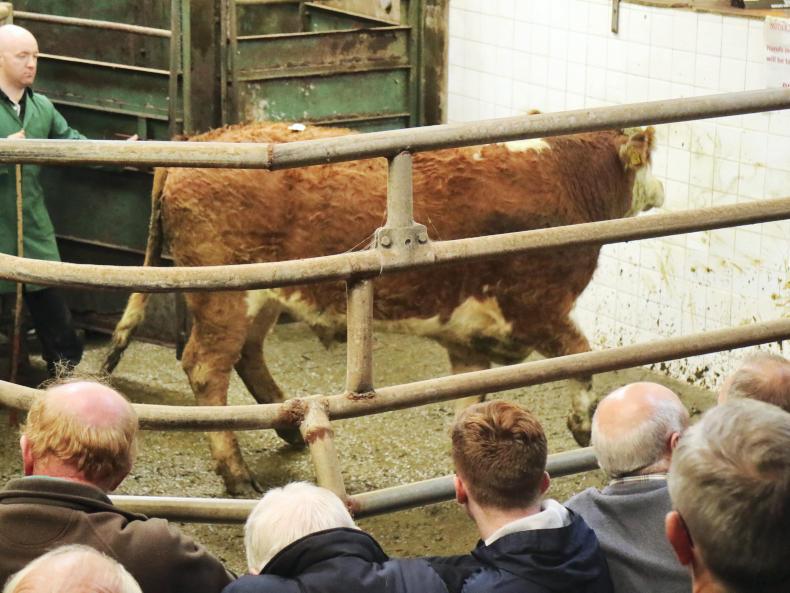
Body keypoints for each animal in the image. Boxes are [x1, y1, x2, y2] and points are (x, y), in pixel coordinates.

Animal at [103, 122, 664, 495]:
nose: (662, 189)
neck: (568, 176)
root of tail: (198, 144)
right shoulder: (537, 308)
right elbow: (582, 355)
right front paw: (582, 424)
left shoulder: (471, 338)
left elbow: (470, 398)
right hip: (225, 295)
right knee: (206, 367)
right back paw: (238, 475)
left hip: (264, 297)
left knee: (248, 354)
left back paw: (285, 425)